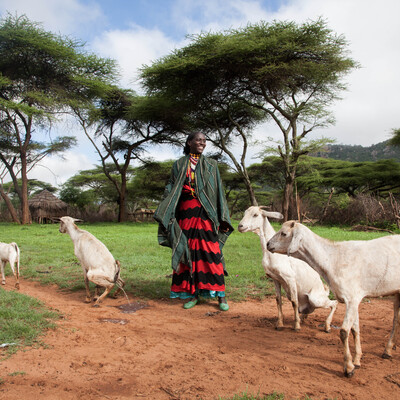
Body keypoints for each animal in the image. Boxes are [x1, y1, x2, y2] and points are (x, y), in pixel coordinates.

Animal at [268, 220, 400, 376]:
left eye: (284, 233)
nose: (268, 244)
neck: (333, 258)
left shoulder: (352, 298)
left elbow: (344, 331)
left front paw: (349, 367)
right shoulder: (354, 299)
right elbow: (355, 329)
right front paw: (357, 360)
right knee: (396, 319)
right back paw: (388, 350)